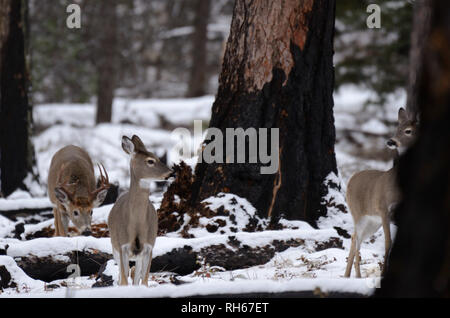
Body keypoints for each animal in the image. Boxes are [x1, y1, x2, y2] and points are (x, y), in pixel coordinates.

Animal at [108, 134, 173, 286]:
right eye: (150, 161)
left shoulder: (149, 246)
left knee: (135, 277)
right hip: (114, 246)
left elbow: (143, 281)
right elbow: (124, 280)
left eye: (158, 157)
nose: (171, 173)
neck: (136, 224)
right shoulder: (122, 246)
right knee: (122, 275)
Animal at [344, 108, 418, 278]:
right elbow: (388, 242)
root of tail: (351, 179)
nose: (391, 141)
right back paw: (355, 276)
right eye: (396, 128)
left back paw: (349, 275)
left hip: (372, 221)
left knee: (354, 237)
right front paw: (384, 273)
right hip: (359, 213)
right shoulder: (384, 208)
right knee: (356, 238)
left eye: (408, 131)